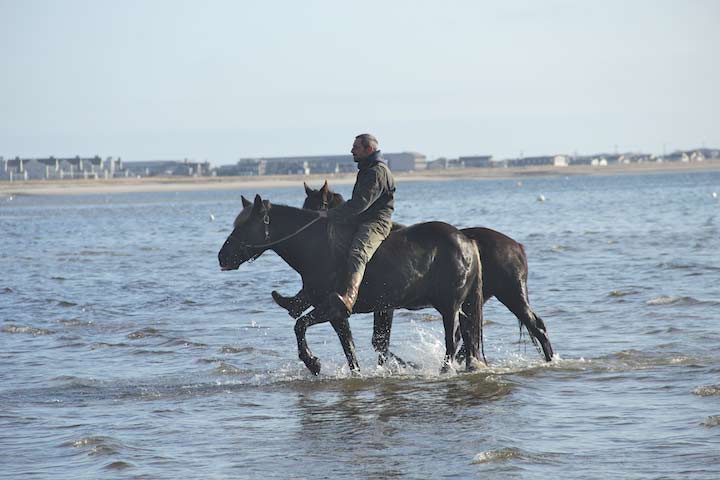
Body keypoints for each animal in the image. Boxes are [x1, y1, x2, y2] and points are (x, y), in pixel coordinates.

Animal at [218, 194, 485, 375]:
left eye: (244, 226)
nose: (222, 257)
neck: (315, 247)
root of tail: (467, 241)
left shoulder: (331, 308)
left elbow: (300, 325)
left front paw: (313, 363)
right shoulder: (337, 314)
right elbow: (349, 348)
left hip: (449, 306)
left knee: (453, 340)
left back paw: (445, 370)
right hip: (459, 306)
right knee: (465, 336)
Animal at [271, 182, 554, 363]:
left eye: (317, 206)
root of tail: (516, 246)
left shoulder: (385, 306)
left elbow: (379, 343)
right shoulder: (383, 306)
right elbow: (379, 343)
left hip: (511, 294)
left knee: (535, 325)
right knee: (472, 334)